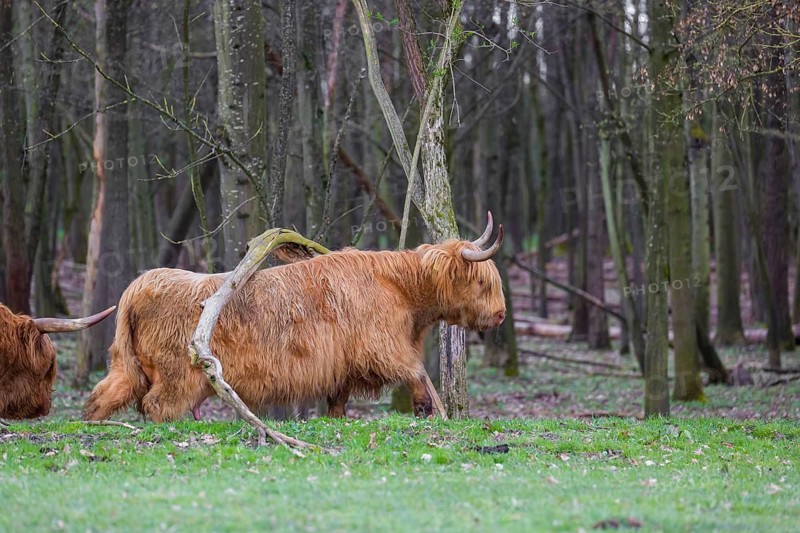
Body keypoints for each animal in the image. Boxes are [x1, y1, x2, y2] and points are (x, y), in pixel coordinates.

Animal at [83, 214, 506, 422]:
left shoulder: (343, 367)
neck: (402, 288)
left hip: (130, 367)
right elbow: (415, 369)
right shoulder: (381, 345)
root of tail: (139, 284)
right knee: (156, 407)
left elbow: (337, 403)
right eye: (483, 282)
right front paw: (424, 408)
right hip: (177, 376)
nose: (502, 315)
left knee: (103, 396)